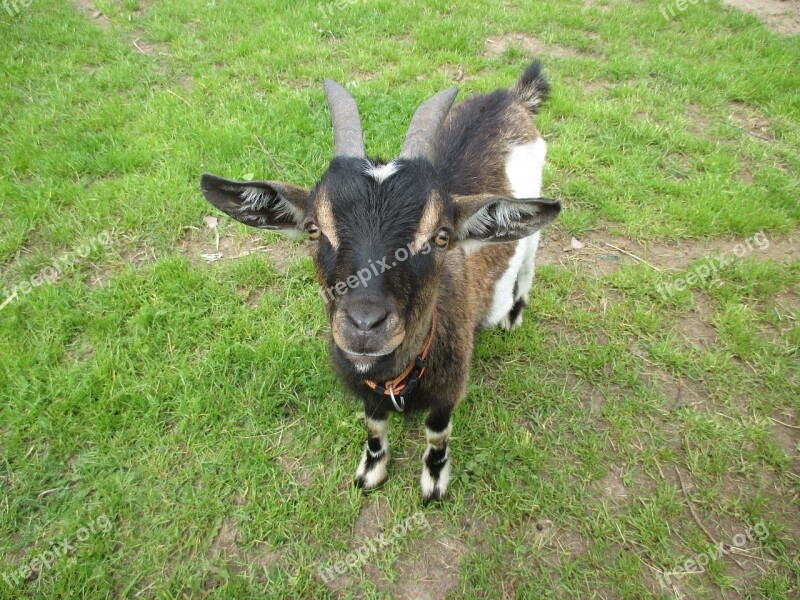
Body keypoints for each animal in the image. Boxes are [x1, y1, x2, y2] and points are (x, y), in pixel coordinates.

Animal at [200, 61, 564, 504]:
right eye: (313, 230)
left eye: (441, 236)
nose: (364, 326)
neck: (396, 378)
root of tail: (511, 97)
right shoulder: (366, 392)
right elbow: (374, 428)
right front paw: (371, 472)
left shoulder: (450, 390)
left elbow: (437, 435)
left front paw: (433, 482)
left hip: (532, 229)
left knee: (528, 263)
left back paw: (513, 316)